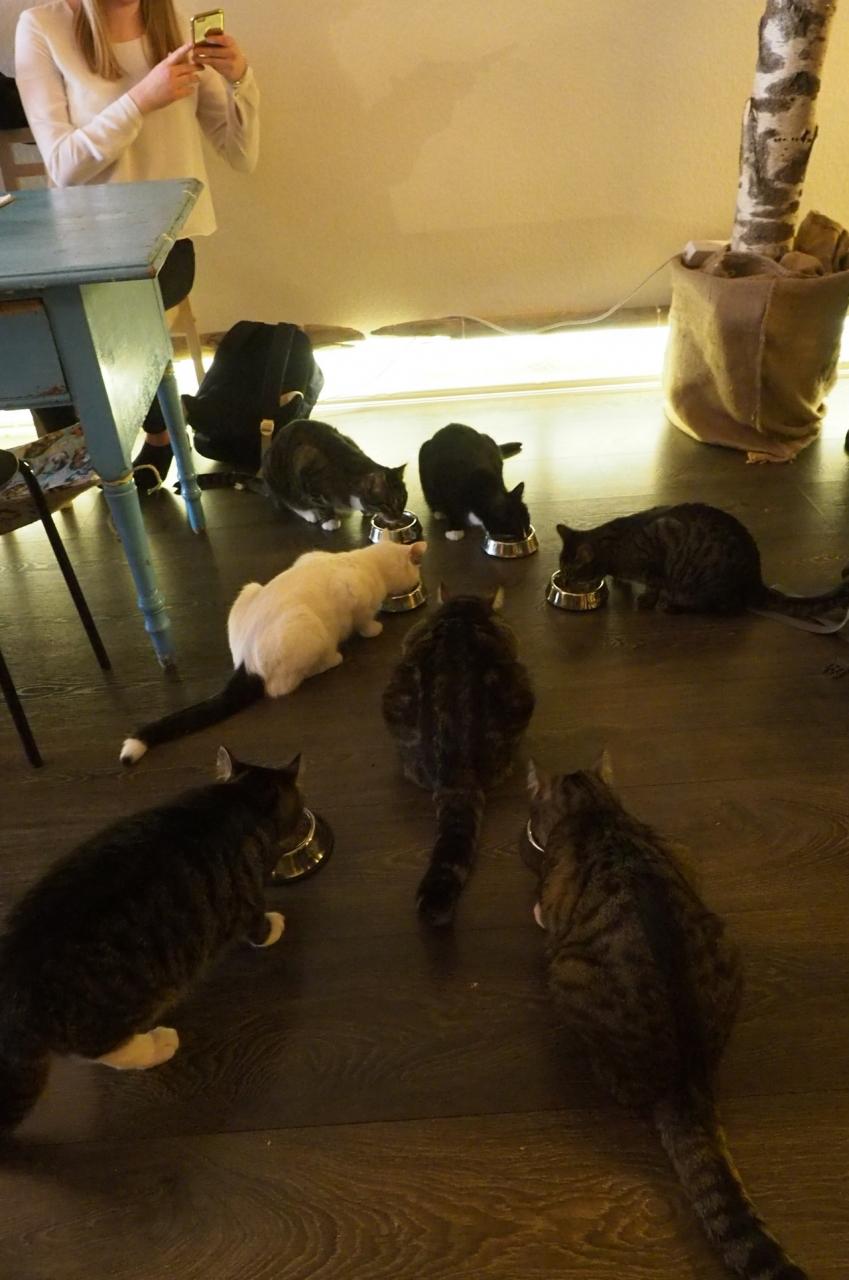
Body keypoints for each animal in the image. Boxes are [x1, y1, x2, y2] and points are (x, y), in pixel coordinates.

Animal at [0, 747, 302, 1132]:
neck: (237, 799)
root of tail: (13, 994)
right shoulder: (247, 897)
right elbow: (257, 924)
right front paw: (274, 927)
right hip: (118, 1007)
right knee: (101, 1050)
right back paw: (157, 1045)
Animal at [120, 539, 427, 765]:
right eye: (416, 569)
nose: (417, 581)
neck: (363, 560)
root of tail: (245, 663)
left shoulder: (307, 556)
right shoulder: (354, 597)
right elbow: (364, 620)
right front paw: (375, 628)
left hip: (249, 589)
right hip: (309, 628)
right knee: (280, 688)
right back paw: (331, 660)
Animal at [185, 419, 408, 532]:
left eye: (403, 501)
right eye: (389, 503)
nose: (398, 517)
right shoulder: (308, 473)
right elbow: (321, 503)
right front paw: (328, 520)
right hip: (279, 479)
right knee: (286, 501)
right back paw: (309, 513)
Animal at [524, 755, 807, 1280]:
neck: (596, 812)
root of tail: (687, 1082)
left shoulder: (555, 893)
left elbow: (545, 907)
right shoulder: (678, 853)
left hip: (568, 975)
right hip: (726, 944)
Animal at [557, 501, 849, 620]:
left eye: (570, 572)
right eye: (561, 569)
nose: (563, 580)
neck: (615, 546)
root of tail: (755, 579)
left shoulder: (656, 555)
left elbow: (652, 585)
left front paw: (646, 600)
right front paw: (620, 581)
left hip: (703, 585)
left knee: (724, 608)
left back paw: (674, 606)